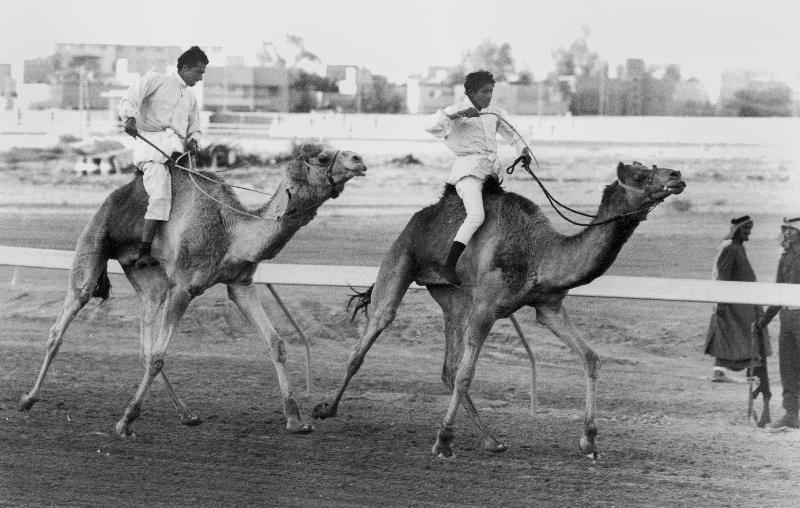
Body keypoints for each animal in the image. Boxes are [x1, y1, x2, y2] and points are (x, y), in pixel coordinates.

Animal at [18, 142, 368, 436]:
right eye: (322, 157)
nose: (359, 159)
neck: (231, 231)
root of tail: (113, 195)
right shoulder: (184, 287)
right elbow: (160, 355)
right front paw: (125, 421)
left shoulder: (239, 283)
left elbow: (276, 343)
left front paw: (296, 420)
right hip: (94, 243)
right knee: (66, 319)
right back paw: (28, 399)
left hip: (148, 277)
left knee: (145, 340)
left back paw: (188, 414)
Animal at [310, 161, 680, 458]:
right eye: (640, 174)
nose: (676, 176)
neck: (539, 253)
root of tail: (420, 216)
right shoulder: (487, 306)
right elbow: (467, 374)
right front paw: (442, 442)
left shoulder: (548, 306)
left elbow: (591, 357)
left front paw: (589, 442)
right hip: (401, 257)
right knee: (371, 336)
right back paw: (325, 409)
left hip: (453, 295)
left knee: (447, 367)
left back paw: (493, 440)